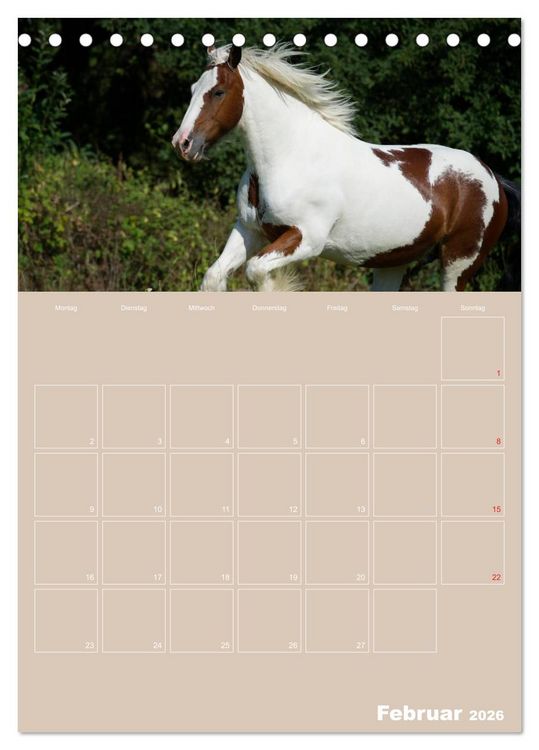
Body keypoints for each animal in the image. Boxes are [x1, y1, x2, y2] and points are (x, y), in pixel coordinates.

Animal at [172, 44, 520, 292]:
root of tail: (493, 178)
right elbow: (214, 277)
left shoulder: (306, 238)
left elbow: (257, 272)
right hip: (393, 263)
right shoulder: (249, 230)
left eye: (218, 92)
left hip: (459, 263)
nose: (183, 143)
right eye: (191, 89)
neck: (292, 156)